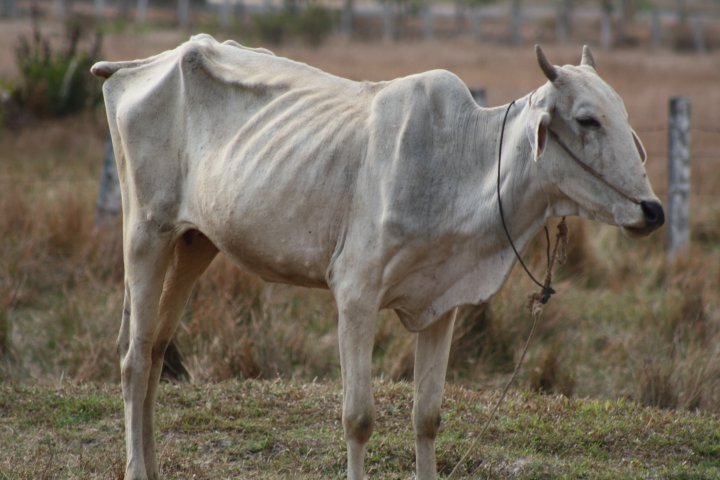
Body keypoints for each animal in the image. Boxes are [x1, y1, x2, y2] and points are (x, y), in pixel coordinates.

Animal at [90, 36, 664, 480]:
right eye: (588, 120)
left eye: (622, 116)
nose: (653, 210)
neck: (461, 164)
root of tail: (142, 64)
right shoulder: (356, 295)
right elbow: (358, 418)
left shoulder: (443, 307)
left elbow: (427, 417)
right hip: (145, 232)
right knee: (133, 357)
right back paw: (137, 467)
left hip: (194, 242)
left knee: (156, 348)